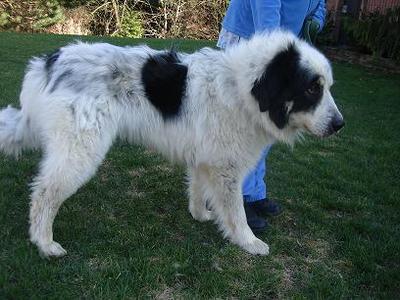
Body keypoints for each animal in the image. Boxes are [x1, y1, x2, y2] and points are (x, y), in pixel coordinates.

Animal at [0, 30, 344, 258]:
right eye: (312, 88)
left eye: (326, 86)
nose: (340, 125)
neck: (241, 87)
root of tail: (49, 62)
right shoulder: (227, 168)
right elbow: (236, 212)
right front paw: (248, 241)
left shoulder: (206, 159)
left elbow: (198, 189)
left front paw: (200, 214)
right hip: (80, 152)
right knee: (44, 193)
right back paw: (44, 243)